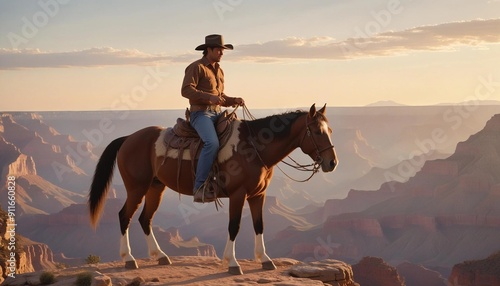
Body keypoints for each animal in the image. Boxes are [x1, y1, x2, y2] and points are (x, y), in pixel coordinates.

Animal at [89, 103, 340, 274]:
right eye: (317, 131)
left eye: (331, 131)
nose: (332, 163)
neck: (254, 147)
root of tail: (128, 138)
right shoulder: (238, 194)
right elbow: (234, 226)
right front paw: (232, 263)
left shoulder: (258, 194)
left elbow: (259, 225)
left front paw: (265, 259)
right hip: (136, 188)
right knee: (125, 216)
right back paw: (129, 259)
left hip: (155, 188)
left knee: (145, 219)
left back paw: (160, 256)